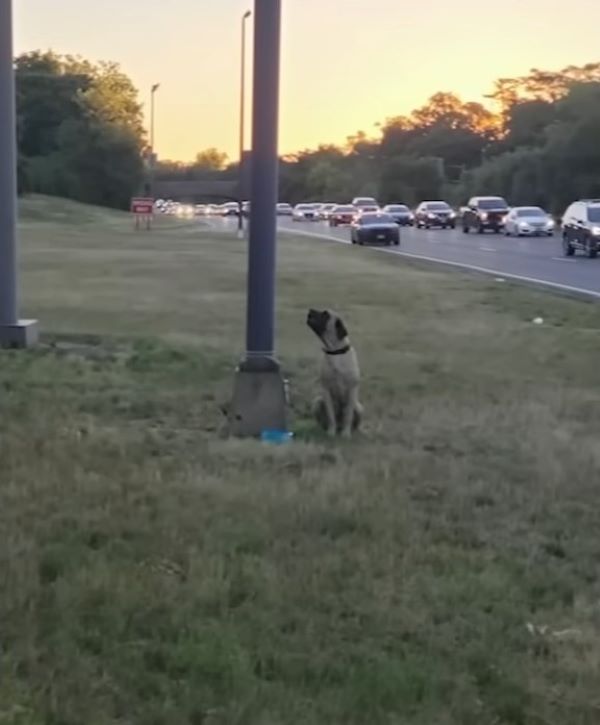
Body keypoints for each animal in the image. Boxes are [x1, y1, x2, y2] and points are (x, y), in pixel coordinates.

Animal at [304, 306, 360, 436]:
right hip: (317, 402)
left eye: (325, 315)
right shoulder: (326, 390)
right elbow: (330, 415)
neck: (335, 351)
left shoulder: (352, 390)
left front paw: (345, 434)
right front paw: (331, 432)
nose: (310, 310)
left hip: (359, 408)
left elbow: (348, 415)